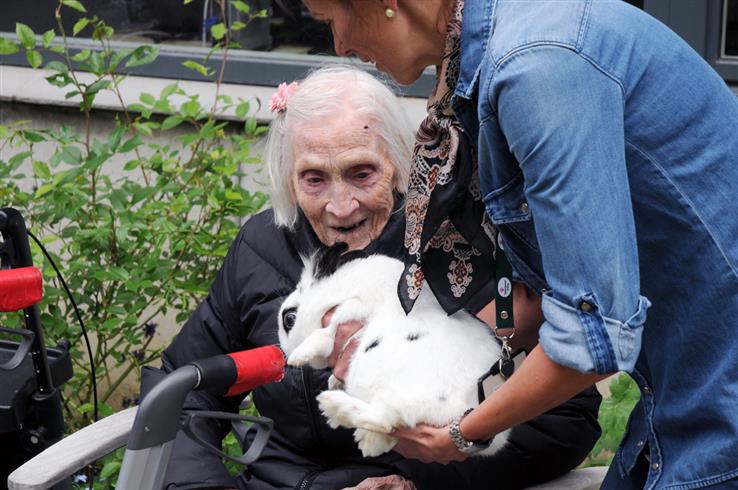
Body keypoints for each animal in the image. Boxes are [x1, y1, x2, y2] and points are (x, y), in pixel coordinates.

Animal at [274, 245, 508, 460]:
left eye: (289, 318)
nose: (285, 352)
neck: (334, 290)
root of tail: (467, 408)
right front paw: (333, 380)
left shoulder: (352, 309)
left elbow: (327, 332)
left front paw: (299, 356)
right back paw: (366, 441)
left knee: (385, 418)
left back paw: (333, 407)